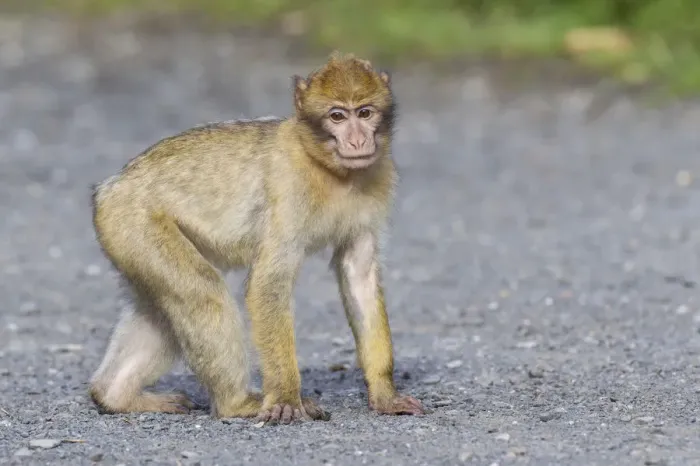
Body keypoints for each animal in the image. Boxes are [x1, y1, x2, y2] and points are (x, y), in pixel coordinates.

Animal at [88, 51, 425, 425]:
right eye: (337, 116)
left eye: (365, 113)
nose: (357, 140)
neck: (332, 171)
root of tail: (110, 188)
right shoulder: (291, 184)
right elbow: (268, 284)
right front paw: (287, 397)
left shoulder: (378, 180)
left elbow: (359, 275)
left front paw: (384, 393)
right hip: (134, 222)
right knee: (202, 294)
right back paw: (237, 404)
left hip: (127, 238)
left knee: (161, 311)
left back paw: (114, 395)